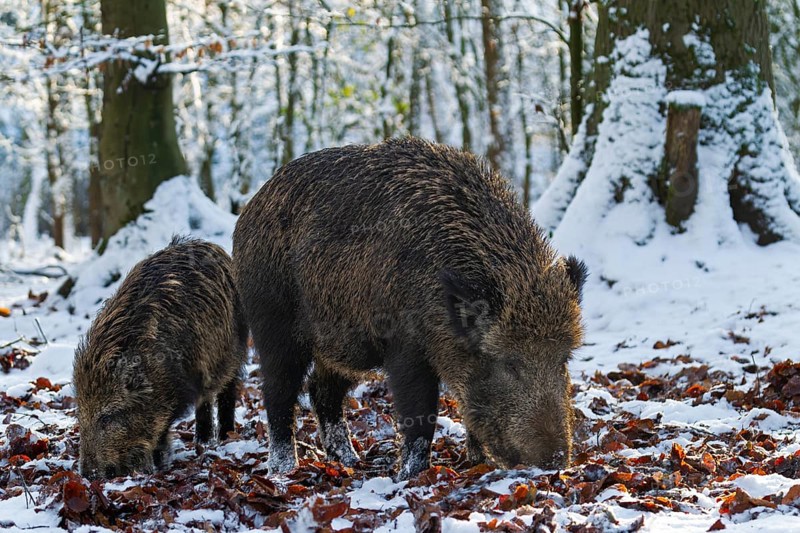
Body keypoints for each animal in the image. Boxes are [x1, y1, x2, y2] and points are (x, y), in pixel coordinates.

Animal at [73, 237, 248, 479]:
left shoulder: (177, 390)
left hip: (232, 352)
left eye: (107, 418)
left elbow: (162, 428)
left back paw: (222, 437)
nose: (87, 474)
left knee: (227, 390)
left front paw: (159, 464)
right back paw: (202, 440)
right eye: (80, 417)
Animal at [233, 137, 587, 479]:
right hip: (273, 322)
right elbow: (419, 413)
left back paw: (351, 461)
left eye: (563, 359)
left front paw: (479, 462)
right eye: (509, 363)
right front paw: (410, 475)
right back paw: (284, 470)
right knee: (279, 392)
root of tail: (250, 209)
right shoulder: (406, 348)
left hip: (342, 346)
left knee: (322, 392)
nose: (556, 461)